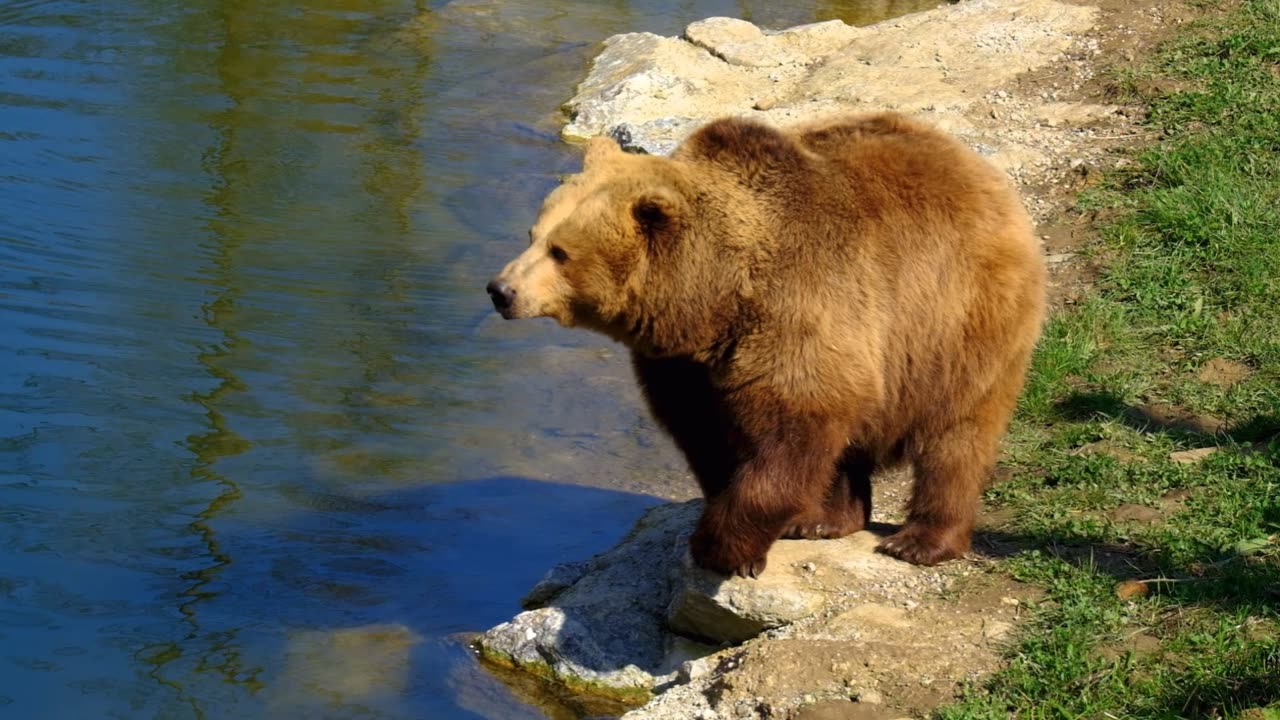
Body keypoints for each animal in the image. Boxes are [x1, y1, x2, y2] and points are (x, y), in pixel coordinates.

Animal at [487, 111, 1046, 577]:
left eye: (560, 251)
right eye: (534, 234)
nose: (501, 289)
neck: (712, 300)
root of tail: (972, 163)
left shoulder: (797, 310)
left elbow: (791, 429)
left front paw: (721, 548)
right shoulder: (682, 364)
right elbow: (705, 434)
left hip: (958, 321)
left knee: (956, 436)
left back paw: (919, 540)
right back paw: (826, 520)